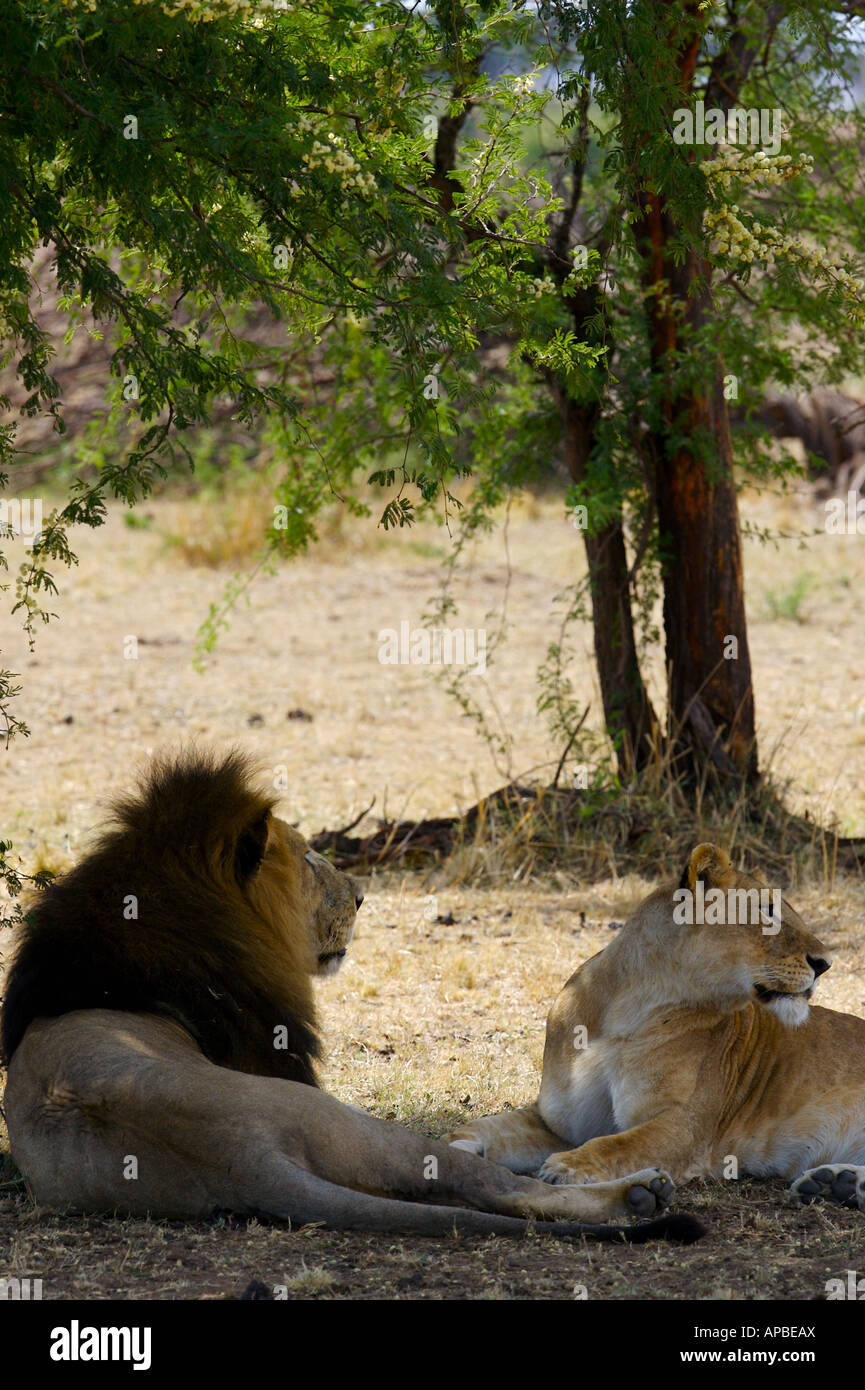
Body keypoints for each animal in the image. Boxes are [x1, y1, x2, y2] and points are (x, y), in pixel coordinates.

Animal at [0, 751, 701, 1243]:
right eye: (309, 858)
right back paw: (639, 1192)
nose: (363, 896)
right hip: (357, 1125)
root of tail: (240, 1157)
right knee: (503, 1186)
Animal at [446, 843, 865, 1213]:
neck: (627, 1011)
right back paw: (833, 1184)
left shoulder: (685, 1127)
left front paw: (569, 1166)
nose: (825, 963)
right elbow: (479, 1128)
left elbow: (618, 1145)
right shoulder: (558, 1123)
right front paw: (456, 1154)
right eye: (768, 911)